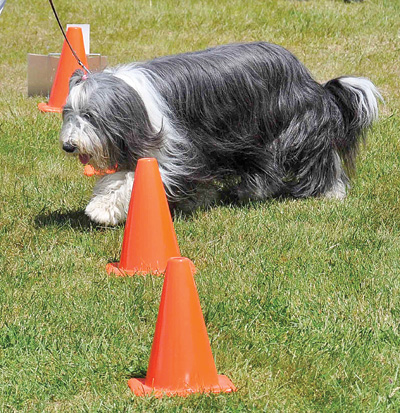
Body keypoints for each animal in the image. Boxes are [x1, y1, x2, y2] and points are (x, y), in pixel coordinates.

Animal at [60, 41, 382, 225]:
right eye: (69, 113)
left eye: (90, 116)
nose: (68, 146)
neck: (135, 102)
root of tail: (307, 78)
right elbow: (119, 178)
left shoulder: (173, 150)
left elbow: (136, 179)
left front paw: (101, 210)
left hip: (288, 127)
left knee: (313, 155)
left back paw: (330, 191)